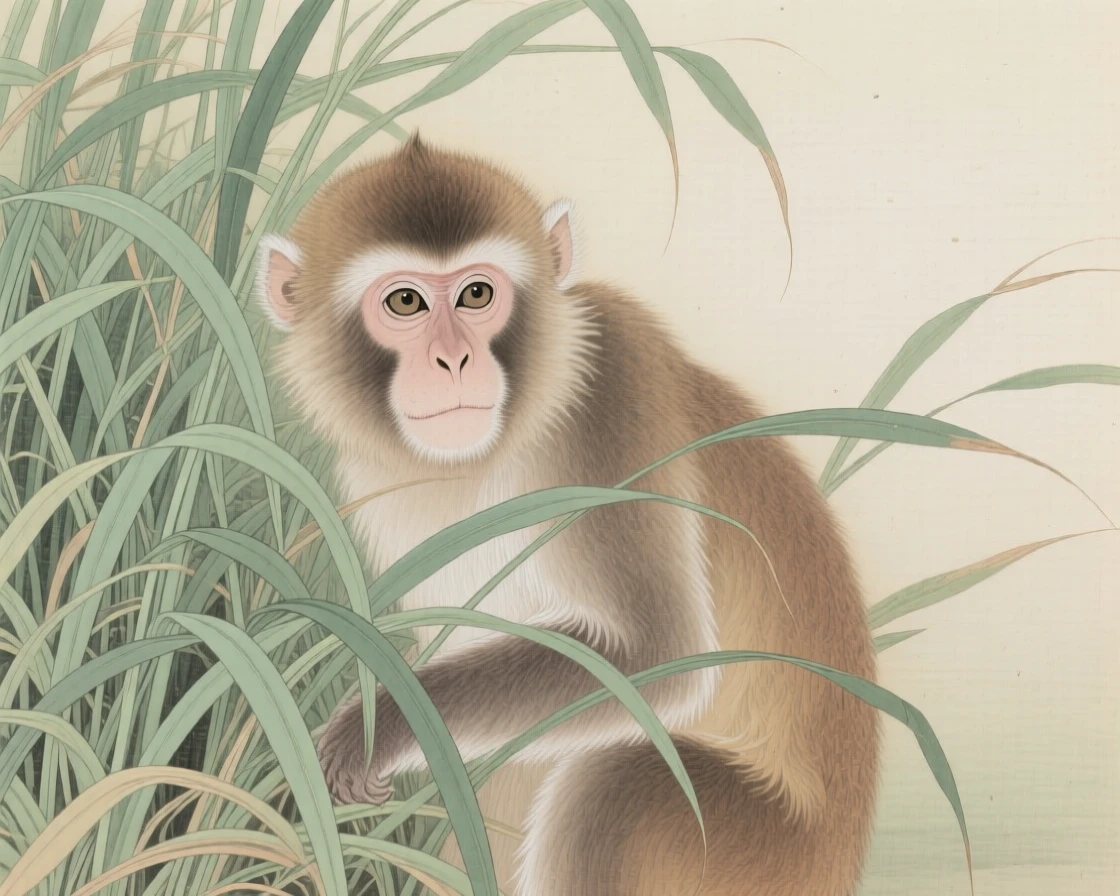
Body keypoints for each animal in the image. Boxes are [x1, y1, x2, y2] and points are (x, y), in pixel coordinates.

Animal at [256, 134, 880, 895]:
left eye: (477, 294)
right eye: (405, 301)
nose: (453, 358)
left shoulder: (608, 391)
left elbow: (652, 655)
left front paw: (382, 727)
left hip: (762, 857)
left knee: (612, 783)